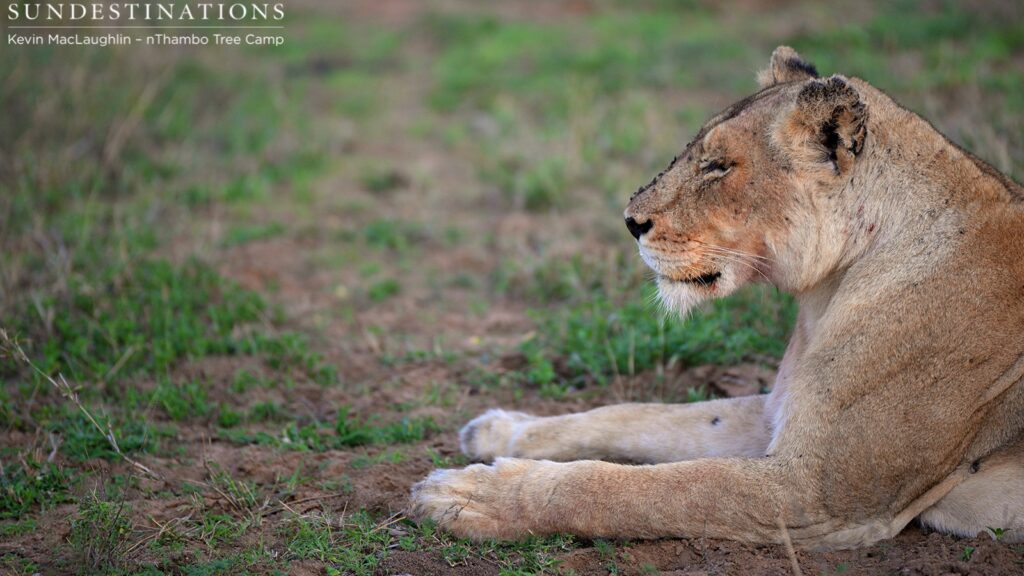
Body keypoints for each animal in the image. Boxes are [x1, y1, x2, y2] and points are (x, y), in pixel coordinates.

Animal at [410, 46, 1024, 550]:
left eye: (718, 165)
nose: (630, 222)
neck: (827, 290)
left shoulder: (819, 497)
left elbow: (638, 489)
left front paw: (472, 495)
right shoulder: (774, 417)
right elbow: (635, 414)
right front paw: (499, 430)